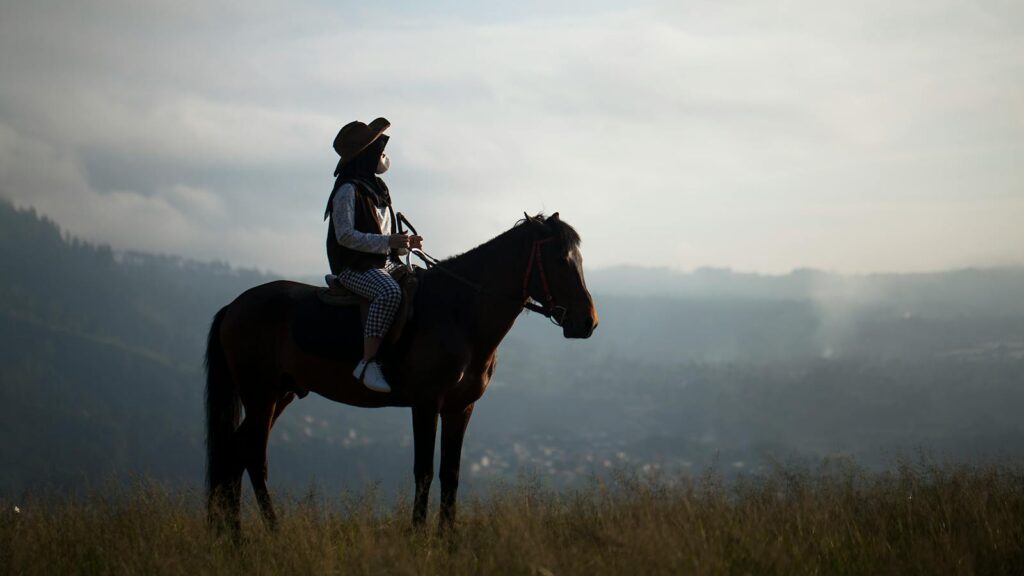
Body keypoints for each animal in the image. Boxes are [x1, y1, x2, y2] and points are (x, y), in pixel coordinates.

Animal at [204, 212, 598, 534]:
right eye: (561, 260)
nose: (588, 322)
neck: (460, 314)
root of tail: (234, 306)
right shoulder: (425, 404)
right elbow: (423, 471)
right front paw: (419, 537)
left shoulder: (460, 408)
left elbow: (451, 473)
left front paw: (447, 540)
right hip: (260, 394)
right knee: (253, 455)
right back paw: (270, 531)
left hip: (279, 395)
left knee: (236, 451)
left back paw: (234, 537)